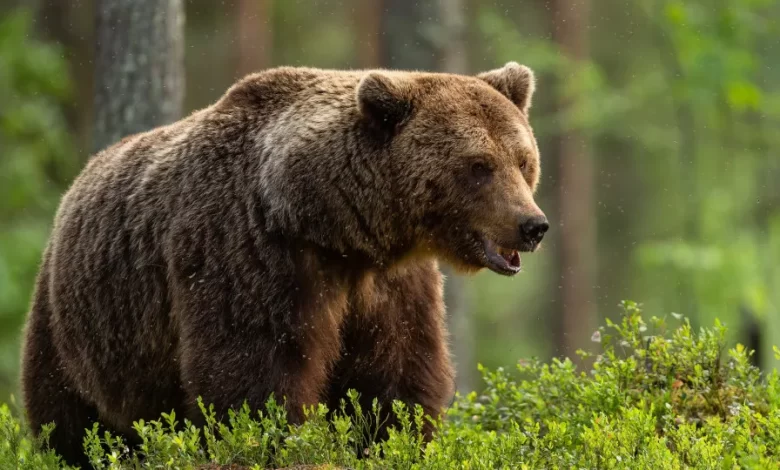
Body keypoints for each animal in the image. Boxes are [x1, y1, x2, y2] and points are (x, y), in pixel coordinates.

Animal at [20, 62, 548, 467]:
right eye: (479, 166)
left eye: (523, 161)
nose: (533, 225)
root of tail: (75, 185)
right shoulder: (251, 253)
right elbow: (254, 377)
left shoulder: (388, 286)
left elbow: (396, 376)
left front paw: (391, 441)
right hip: (79, 326)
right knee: (68, 418)